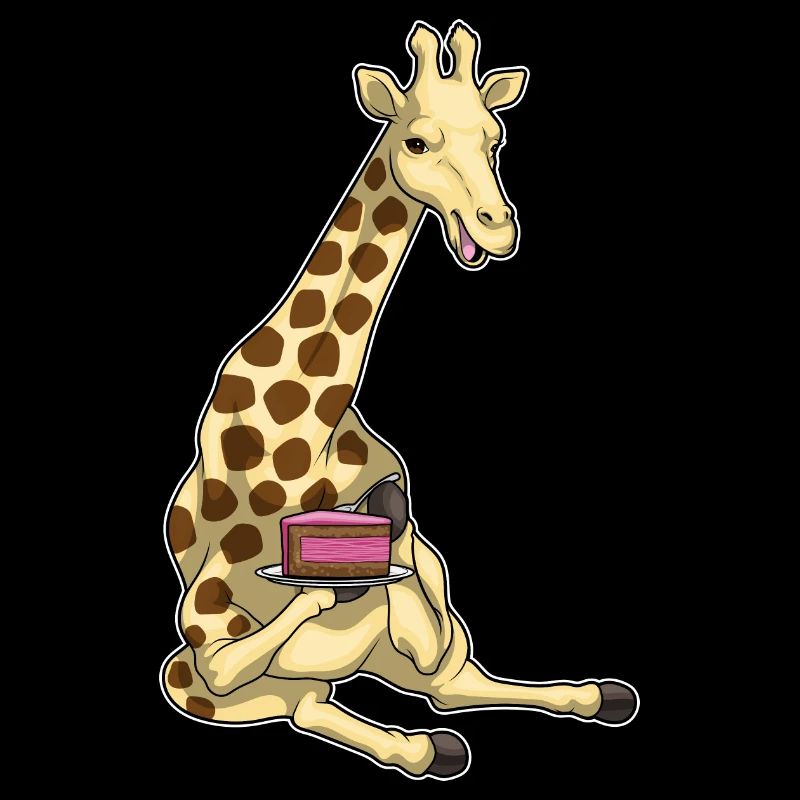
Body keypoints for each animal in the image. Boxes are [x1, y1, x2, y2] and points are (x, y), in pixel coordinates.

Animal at [161, 20, 638, 780]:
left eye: (496, 137)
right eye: (416, 141)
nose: (498, 226)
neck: (307, 427)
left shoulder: (418, 583)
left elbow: (430, 615)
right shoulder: (208, 624)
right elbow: (258, 647)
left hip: (406, 639)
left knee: (442, 680)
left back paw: (594, 695)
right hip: (207, 667)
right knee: (304, 698)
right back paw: (425, 743)